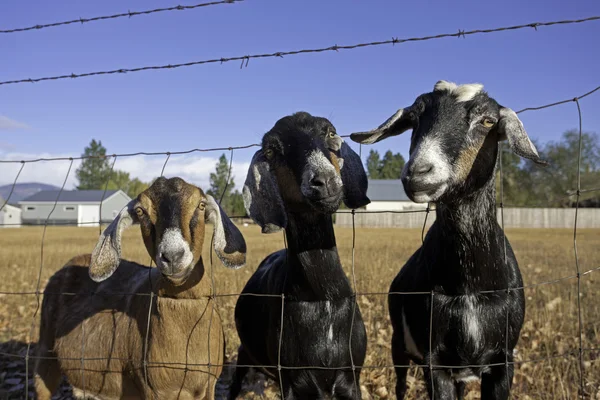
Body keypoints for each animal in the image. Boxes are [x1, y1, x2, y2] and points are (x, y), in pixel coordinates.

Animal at [33, 177, 246, 400]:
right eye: (141, 211)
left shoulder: (209, 386)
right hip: (45, 351)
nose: (173, 256)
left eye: (201, 205)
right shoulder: (153, 390)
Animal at [229, 111, 370, 400]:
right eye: (271, 150)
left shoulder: (351, 378)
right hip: (245, 353)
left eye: (330, 132)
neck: (322, 298)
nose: (324, 181)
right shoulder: (293, 383)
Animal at [352, 79, 548, 398]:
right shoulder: (436, 362)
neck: (469, 286)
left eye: (487, 121)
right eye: (414, 118)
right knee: (400, 385)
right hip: (399, 346)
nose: (419, 173)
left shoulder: (503, 360)